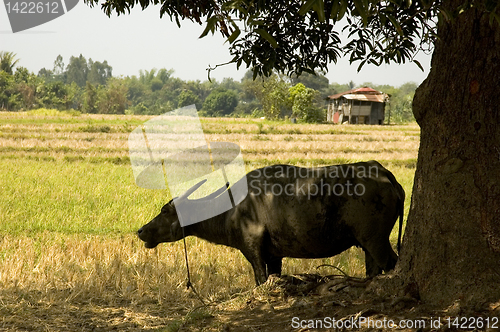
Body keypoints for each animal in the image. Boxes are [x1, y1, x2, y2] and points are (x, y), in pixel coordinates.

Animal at [139, 161, 404, 286]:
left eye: (165, 211)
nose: (141, 231)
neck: (233, 208)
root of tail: (382, 172)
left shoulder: (254, 251)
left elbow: (259, 280)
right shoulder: (275, 256)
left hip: (376, 240)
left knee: (391, 263)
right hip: (367, 244)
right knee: (373, 268)